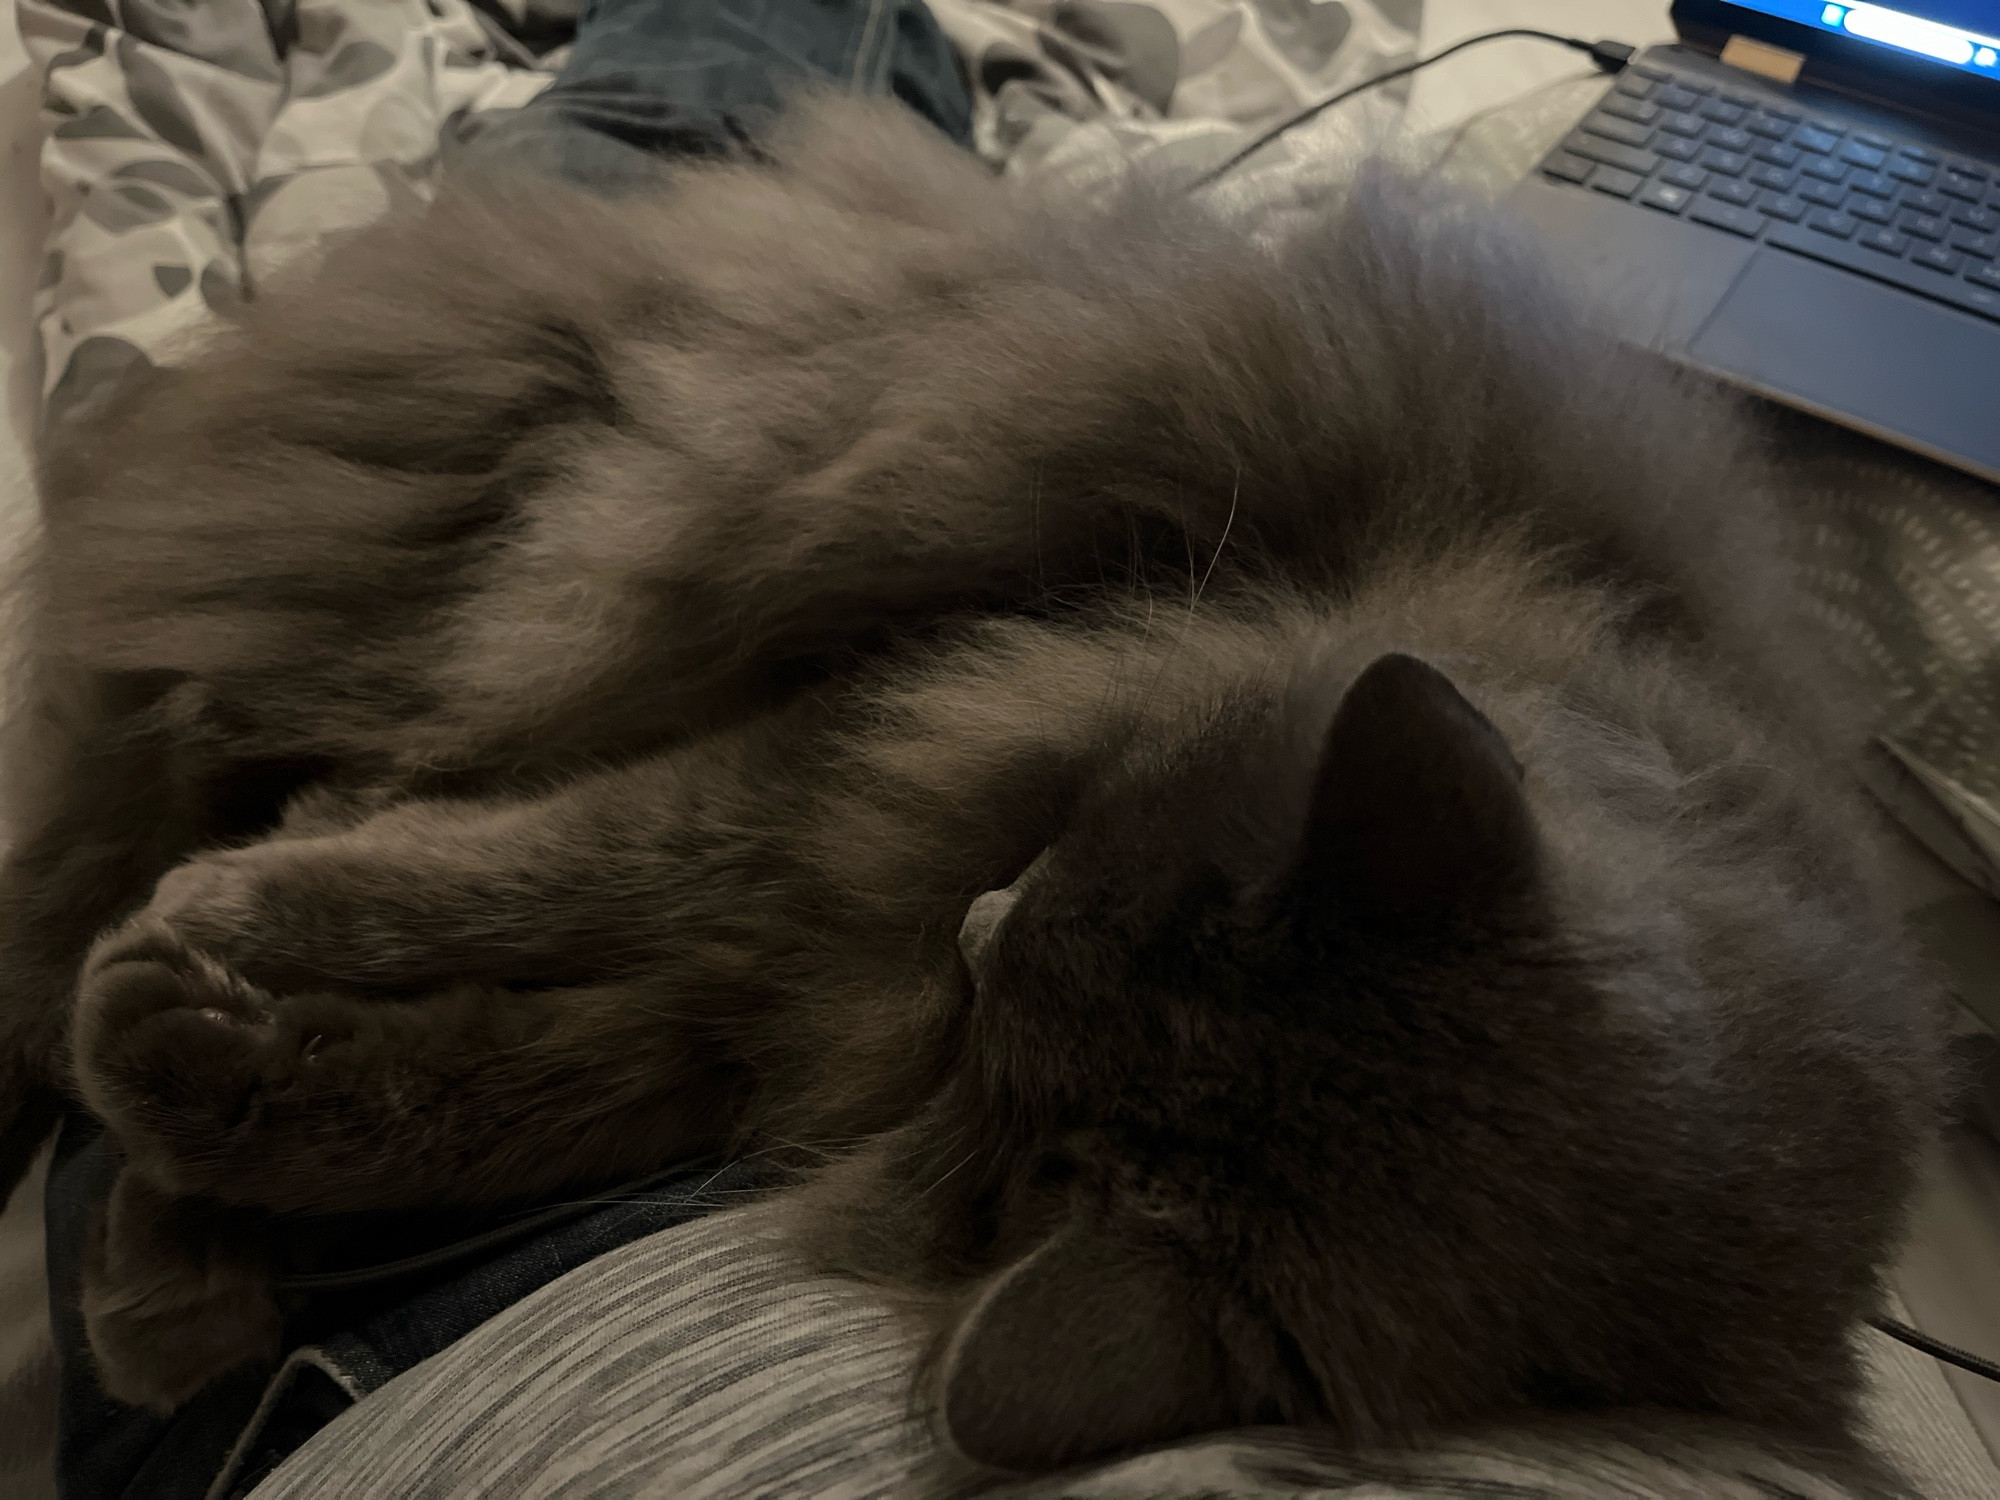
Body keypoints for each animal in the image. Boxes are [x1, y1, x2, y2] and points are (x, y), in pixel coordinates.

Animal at [0, 100, 1944, 1488]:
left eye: (1030, 1069)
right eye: (1133, 862)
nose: (981, 919)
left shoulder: (767, 1008)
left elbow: (505, 1081)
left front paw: (209, 1065)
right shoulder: (882, 727)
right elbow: (546, 863)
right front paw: (223, 953)